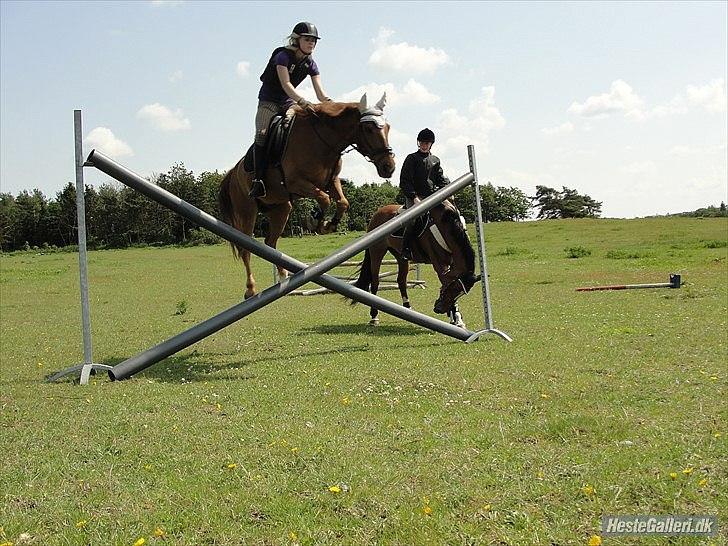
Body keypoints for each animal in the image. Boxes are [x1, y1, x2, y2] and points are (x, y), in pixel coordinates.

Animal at [219, 93, 396, 298]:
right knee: (246, 249)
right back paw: (250, 289)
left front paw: (328, 225)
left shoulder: (331, 181)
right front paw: (316, 221)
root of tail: (233, 172)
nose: (389, 167)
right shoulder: (297, 183)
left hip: (280, 208)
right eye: (368, 129)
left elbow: (342, 202)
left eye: (388, 127)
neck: (323, 140)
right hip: (247, 211)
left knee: (270, 241)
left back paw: (283, 275)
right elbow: (324, 199)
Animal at [352, 201, 480, 326]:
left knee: (401, 281)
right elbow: (444, 281)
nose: (439, 309)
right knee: (375, 282)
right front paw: (455, 317)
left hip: (400, 256)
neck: (446, 227)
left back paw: (407, 308)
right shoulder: (439, 263)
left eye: (461, 293)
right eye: (453, 289)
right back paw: (374, 316)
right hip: (377, 252)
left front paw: (457, 318)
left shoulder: (452, 263)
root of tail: (378, 212)